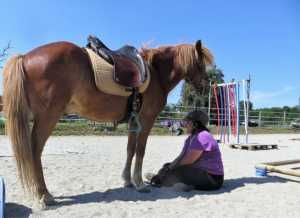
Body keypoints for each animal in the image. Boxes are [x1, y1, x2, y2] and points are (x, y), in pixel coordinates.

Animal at [2, 39, 213, 208]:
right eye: (201, 64)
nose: (206, 87)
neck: (155, 73)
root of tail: (25, 57)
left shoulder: (133, 122)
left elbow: (130, 150)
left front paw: (127, 181)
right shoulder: (146, 120)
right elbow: (140, 151)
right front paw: (140, 184)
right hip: (48, 117)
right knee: (35, 151)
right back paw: (44, 195)